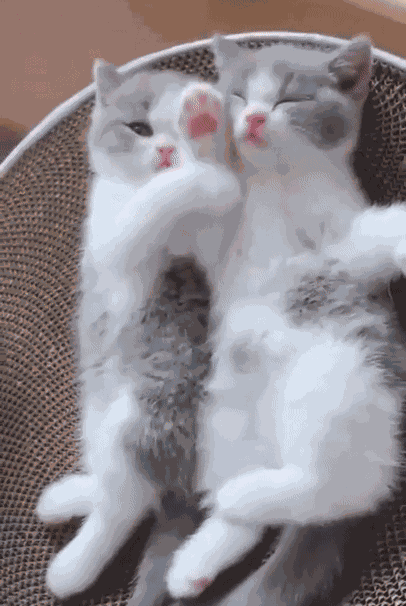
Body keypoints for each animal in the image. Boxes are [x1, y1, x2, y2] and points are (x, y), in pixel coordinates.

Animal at [35, 59, 243, 599]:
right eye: (140, 128)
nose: (169, 151)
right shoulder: (110, 230)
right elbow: (139, 213)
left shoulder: (205, 254)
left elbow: (210, 196)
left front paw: (205, 138)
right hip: (100, 405)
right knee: (122, 489)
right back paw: (69, 509)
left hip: (149, 409)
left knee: (128, 498)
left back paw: (71, 563)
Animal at [165, 34, 406, 600]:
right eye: (238, 93)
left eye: (290, 98)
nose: (253, 118)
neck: (279, 181)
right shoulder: (217, 235)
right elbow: (204, 210)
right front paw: (199, 120)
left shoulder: (342, 239)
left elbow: (364, 243)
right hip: (224, 424)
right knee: (250, 511)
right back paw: (197, 559)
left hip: (334, 380)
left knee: (342, 492)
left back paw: (247, 497)